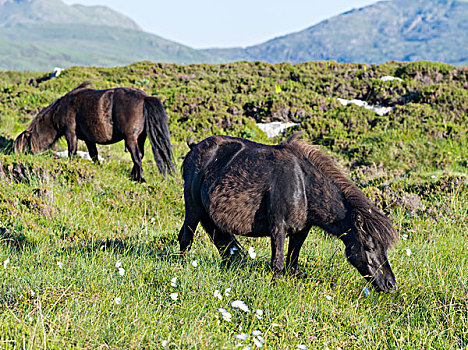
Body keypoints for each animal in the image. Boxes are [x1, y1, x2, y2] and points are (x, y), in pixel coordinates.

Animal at [16, 82, 176, 180]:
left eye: (27, 144)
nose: (26, 157)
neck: (60, 110)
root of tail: (144, 98)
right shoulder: (88, 139)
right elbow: (94, 155)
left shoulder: (71, 133)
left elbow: (72, 152)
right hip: (140, 138)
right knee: (139, 156)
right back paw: (133, 176)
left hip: (131, 139)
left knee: (136, 157)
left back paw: (139, 179)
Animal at [179, 133, 398, 292]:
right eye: (369, 247)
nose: (390, 284)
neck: (303, 185)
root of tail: (194, 146)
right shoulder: (279, 228)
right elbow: (277, 264)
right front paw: (274, 290)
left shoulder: (300, 232)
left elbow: (292, 263)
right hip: (193, 209)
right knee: (186, 238)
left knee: (224, 245)